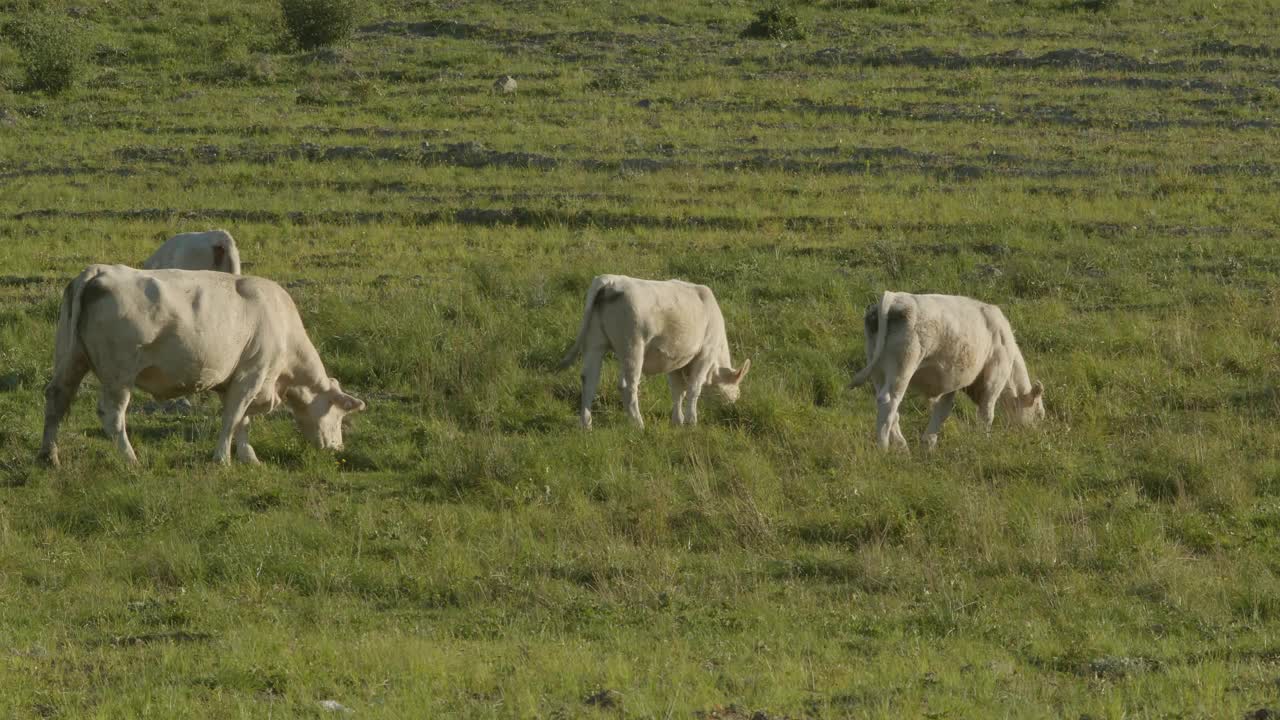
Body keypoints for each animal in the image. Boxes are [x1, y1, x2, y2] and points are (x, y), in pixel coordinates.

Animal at [38, 263, 366, 466]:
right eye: (339, 414)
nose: (337, 449)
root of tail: (97, 271)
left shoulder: (234, 381)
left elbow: (243, 420)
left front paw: (248, 457)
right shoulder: (252, 374)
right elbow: (233, 418)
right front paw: (223, 459)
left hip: (70, 360)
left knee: (55, 400)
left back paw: (49, 457)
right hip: (119, 376)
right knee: (112, 415)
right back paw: (131, 459)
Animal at [552, 274, 747, 427]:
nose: (733, 406)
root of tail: (612, 280)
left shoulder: (676, 360)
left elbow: (677, 391)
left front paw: (678, 421)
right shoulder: (705, 354)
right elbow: (693, 388)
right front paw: (691, 421)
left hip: (595, 342)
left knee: (589, 380)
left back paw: (586, 424)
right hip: (633, 347)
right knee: (628, 385)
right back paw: (638, 424)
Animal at [849, 289, 1039, 448]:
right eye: (1038, 410)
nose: (1032, 434)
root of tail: (895, 298)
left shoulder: (951, 383)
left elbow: (942, 411)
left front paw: (929, 444)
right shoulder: (995, 376)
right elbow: (987, 412)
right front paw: (983, 442)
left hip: (878, 371)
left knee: (889, 407)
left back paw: (902, 448)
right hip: (902, 368)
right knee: (889, 402)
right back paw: (884, 449)